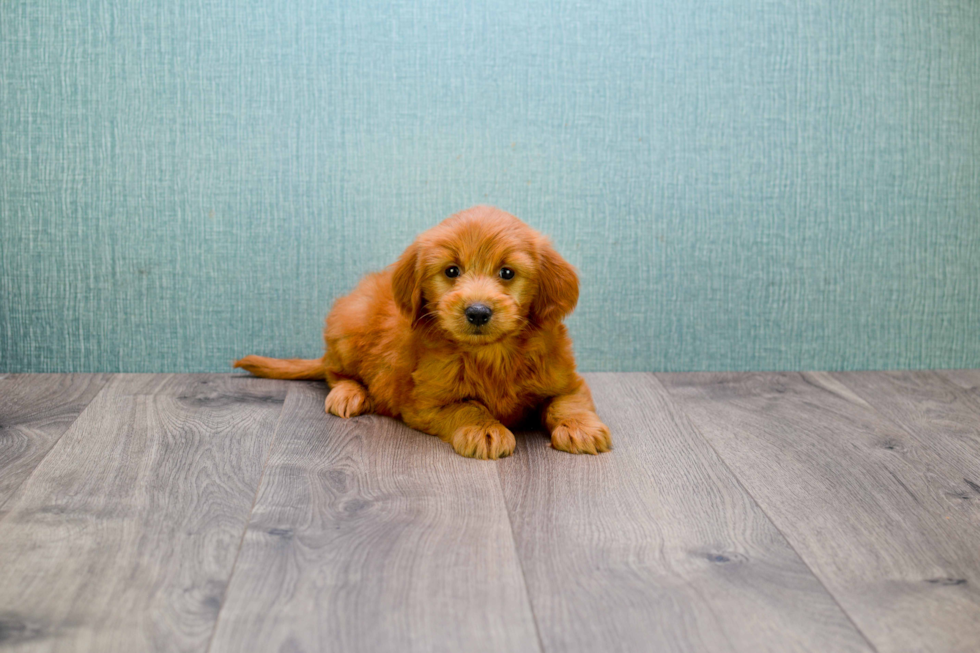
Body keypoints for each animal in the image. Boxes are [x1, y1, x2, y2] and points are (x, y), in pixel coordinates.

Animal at [234, 205, 608, 458]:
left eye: (507, 272)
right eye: (451, 271)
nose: (477, 311)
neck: (491, 355)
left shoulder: (567, 380)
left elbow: (567, 403)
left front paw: (582, 429)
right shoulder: (425, 403)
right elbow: (468, 407)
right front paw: (484, 430)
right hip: (349, 325)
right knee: (333, 372)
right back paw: (349, 394)